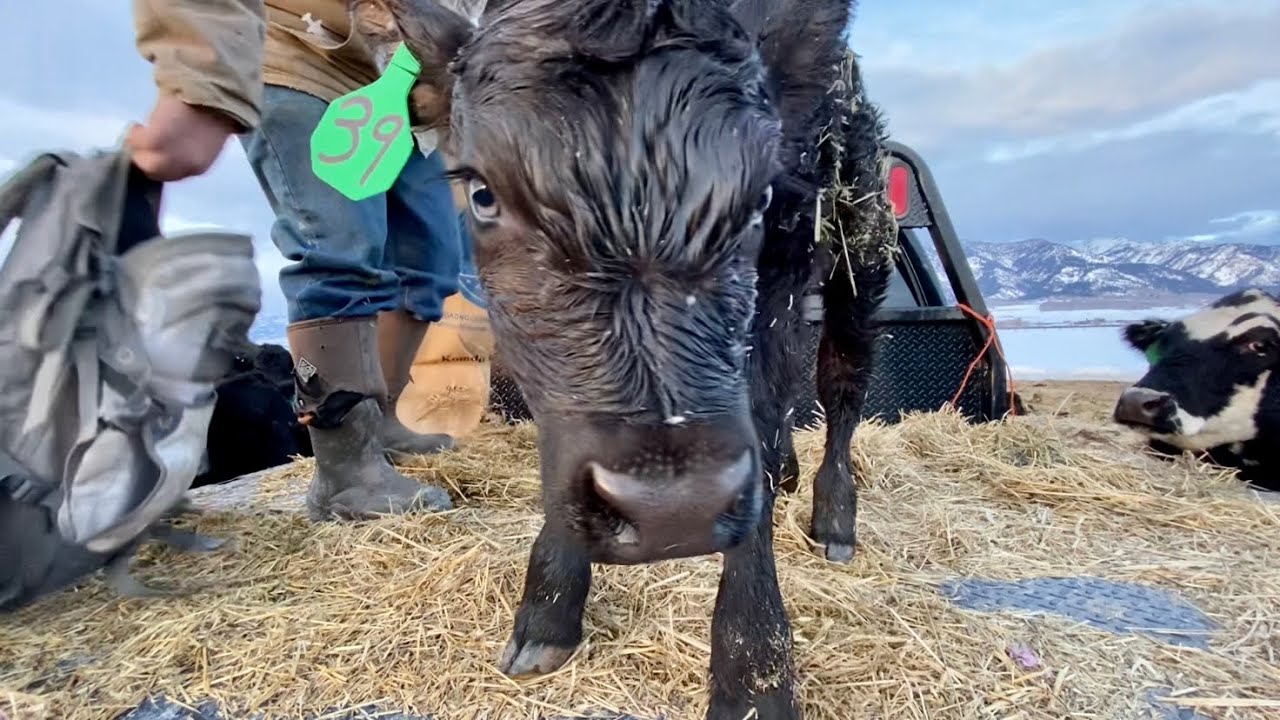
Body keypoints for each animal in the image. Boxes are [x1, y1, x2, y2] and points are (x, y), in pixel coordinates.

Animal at [349, 1, 898, 717]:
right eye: (483, 193)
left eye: (759, 199)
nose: (673, 509)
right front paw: (549, 606)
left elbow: (764, 403)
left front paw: (754, 672)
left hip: (860, 251)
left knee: (840, 382)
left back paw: (833, 516)